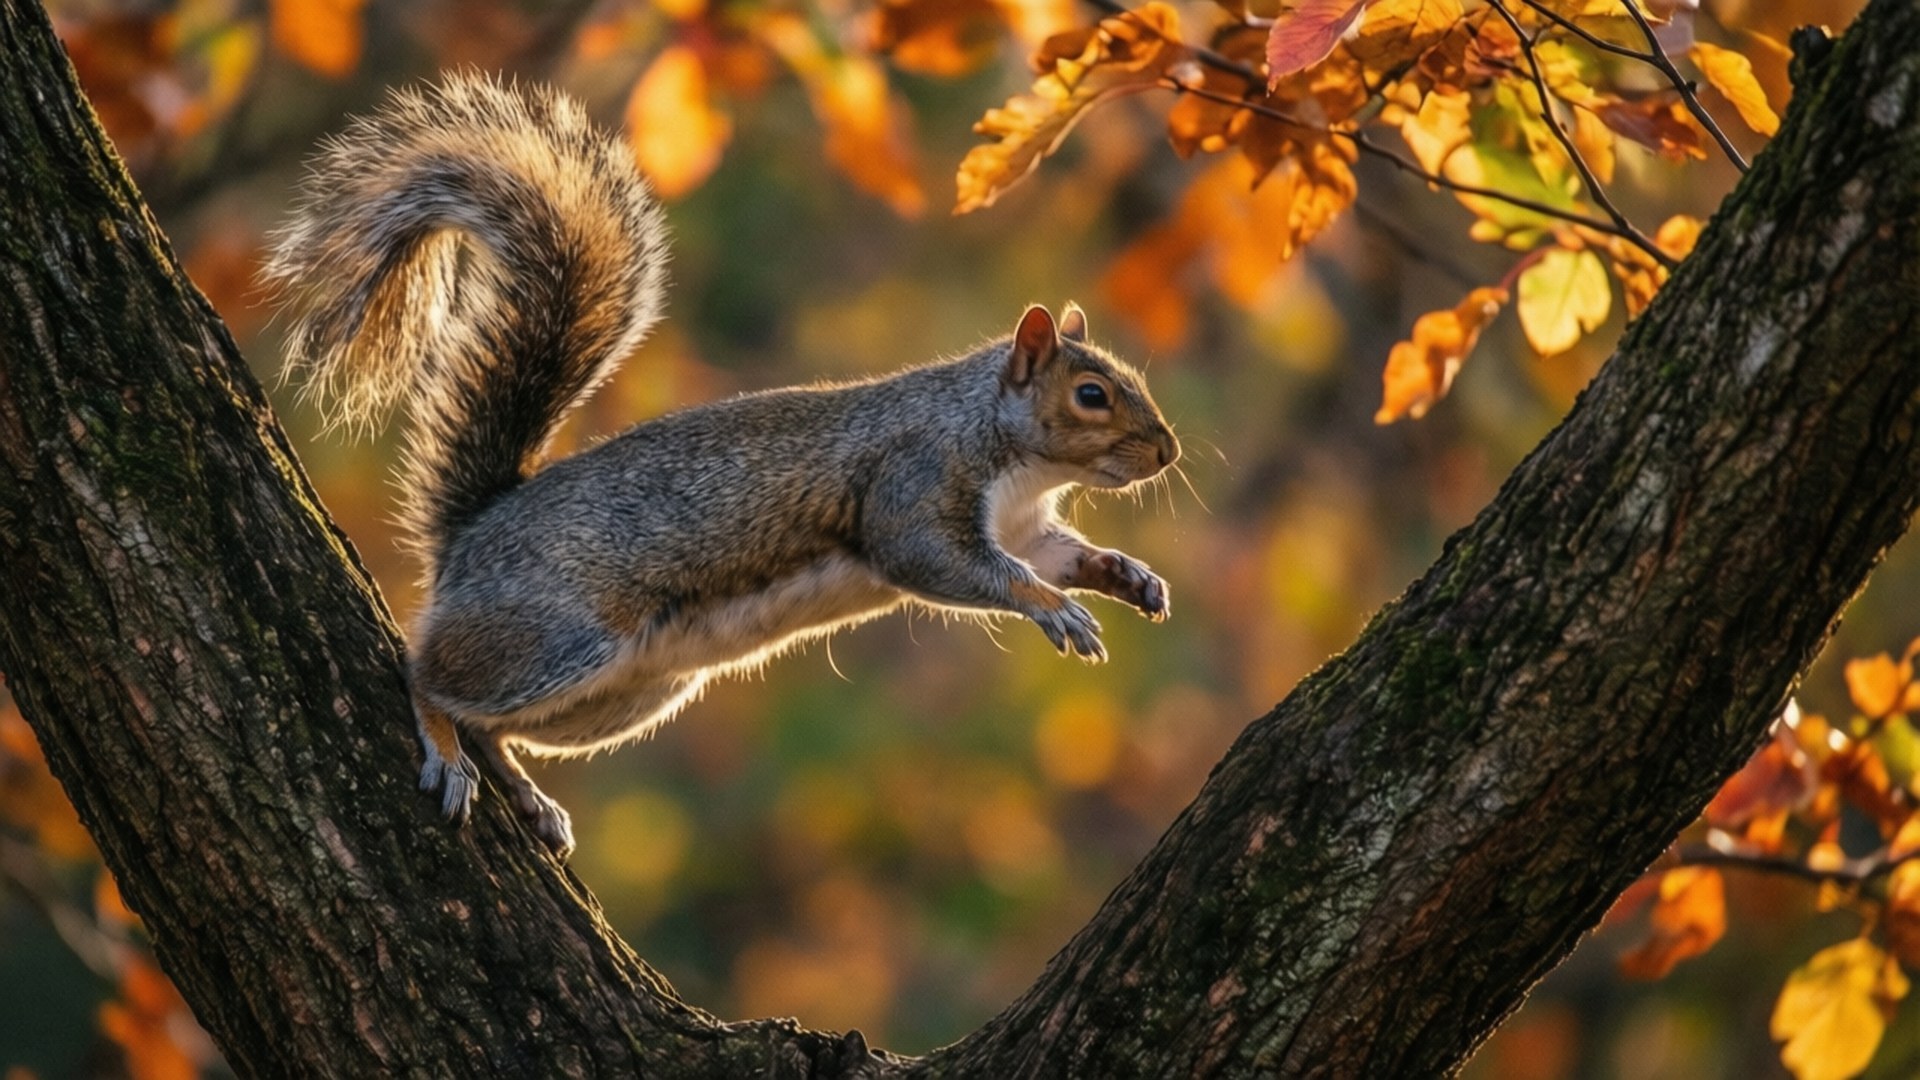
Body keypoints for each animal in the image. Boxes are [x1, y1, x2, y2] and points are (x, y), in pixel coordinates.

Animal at [262, 74, 1180, 858]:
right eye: (1093, 394)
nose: (1168, 450)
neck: (1019, 462)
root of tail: (473, 531)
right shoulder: (913, 483)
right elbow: (949, 561)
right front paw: (1053, 609)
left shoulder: (1023, 525)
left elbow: (1058, 554)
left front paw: (1126, 576)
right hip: (557, 634)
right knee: (431, 677)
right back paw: (446, 744)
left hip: (630, 692)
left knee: (494, 724)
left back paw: (527, 796)